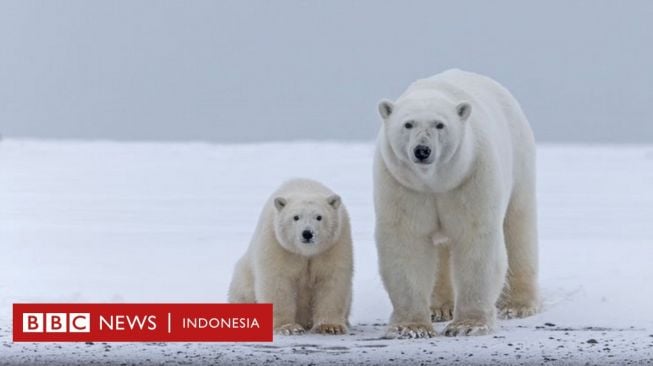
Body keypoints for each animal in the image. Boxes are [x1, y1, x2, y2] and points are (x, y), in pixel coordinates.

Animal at [228, 179, 352, 336]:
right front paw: (288, 327)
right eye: (296, 217)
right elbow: (278, 281)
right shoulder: (277, 243)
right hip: (244, 276)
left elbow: (332, 279)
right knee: (243, 292)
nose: (307, 233)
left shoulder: (334, 245)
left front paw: (330, 326)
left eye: (319, 217)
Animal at [374, 68, 536, 338]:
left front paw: (468, 325)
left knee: (518, 228)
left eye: (440, 124)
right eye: (408, 124)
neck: (435, 181)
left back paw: (518, 306)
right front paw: (410, 328)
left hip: (519, 160)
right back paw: (440, 307)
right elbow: (406, 242)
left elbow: (477, 241)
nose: (422, 150)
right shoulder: (403, 185)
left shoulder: (471, 175)